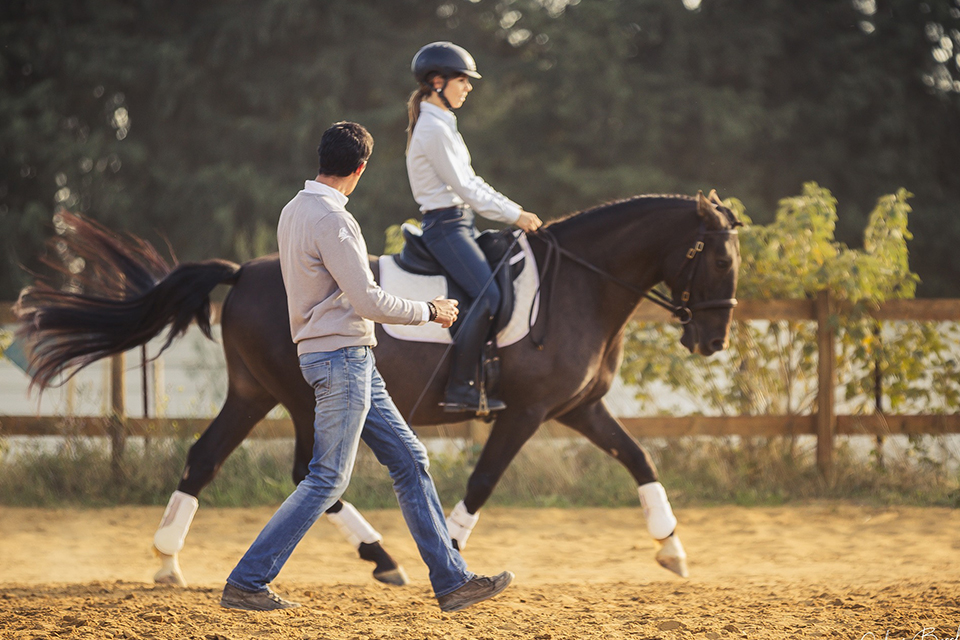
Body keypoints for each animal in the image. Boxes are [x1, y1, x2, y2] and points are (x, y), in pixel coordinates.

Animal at [16, 190, 744, 584]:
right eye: (717, 257)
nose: (712, 341)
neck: (580, 285)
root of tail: (244, 272)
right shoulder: (529, 411)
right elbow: (484, 480)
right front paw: (451, 553)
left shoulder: (580, 406)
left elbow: (638, 457)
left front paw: (673, 549)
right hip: (305, 398)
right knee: (306, 473)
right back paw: (383, 556)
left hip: (254, 393)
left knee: (206, 458)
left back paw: (169, 561)